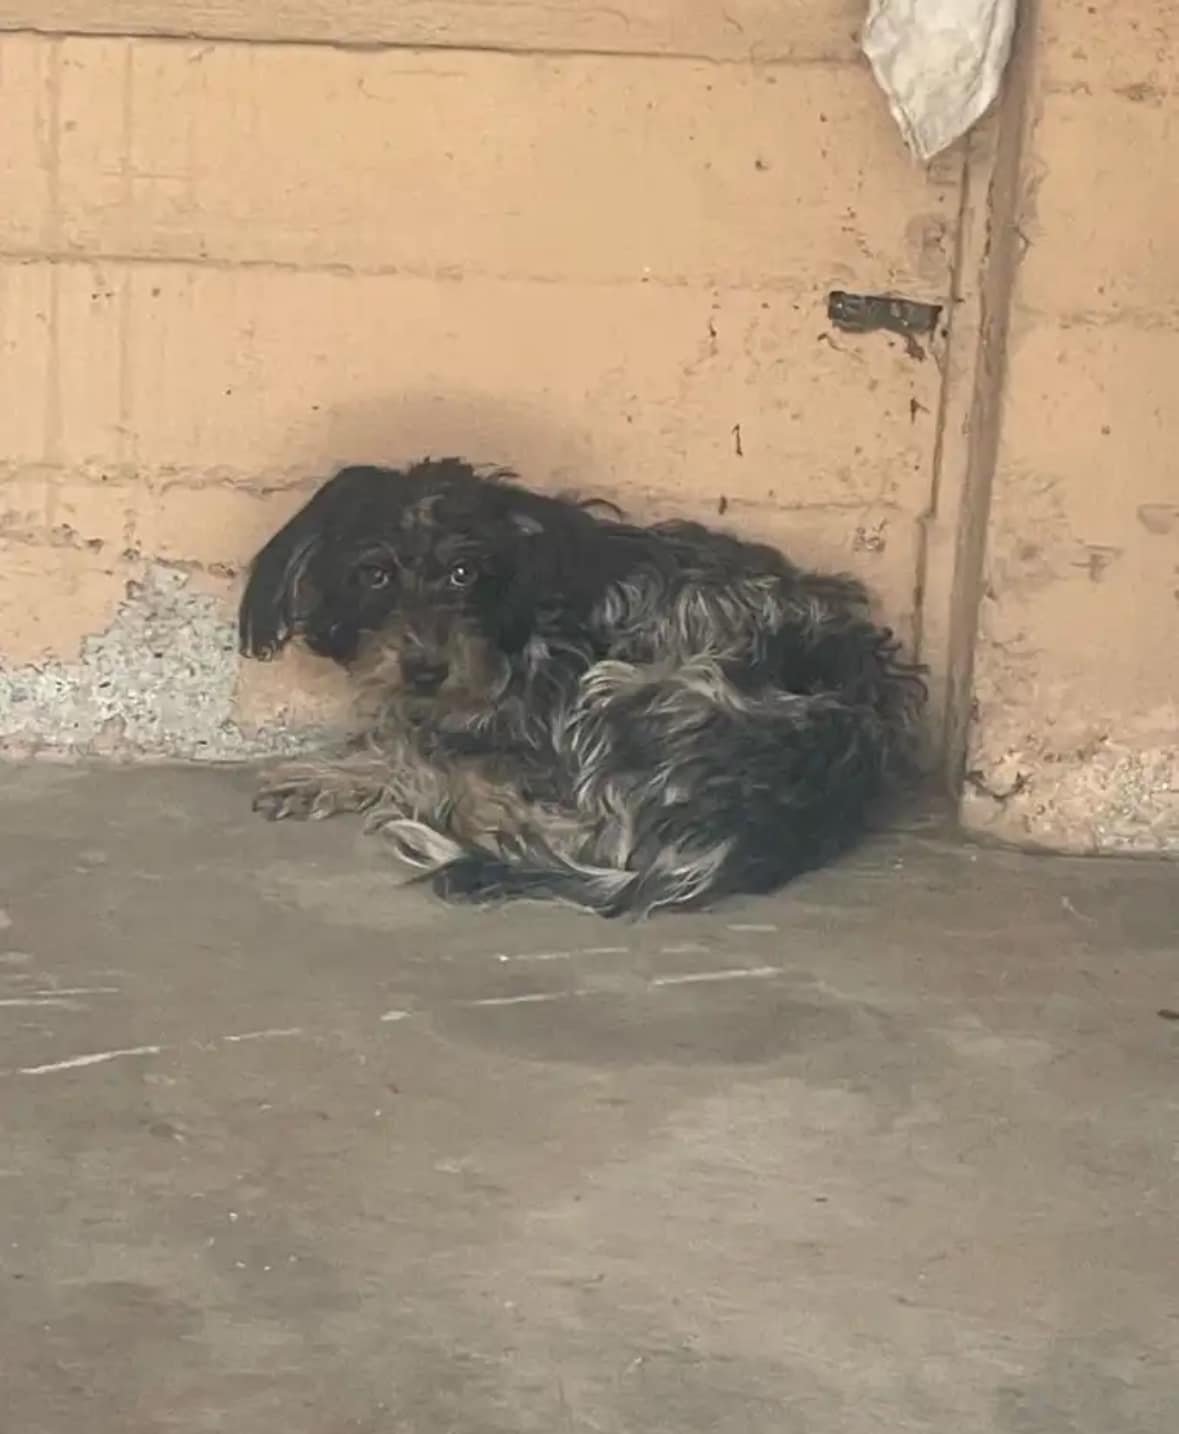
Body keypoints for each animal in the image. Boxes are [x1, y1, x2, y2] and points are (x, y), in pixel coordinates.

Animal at [235, 456, 929, 917]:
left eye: (464, 572)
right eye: (374, 574)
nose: (426, 669)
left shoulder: (541, 733)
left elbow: (429, 754)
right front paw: (328, 772)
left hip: (627, 689)